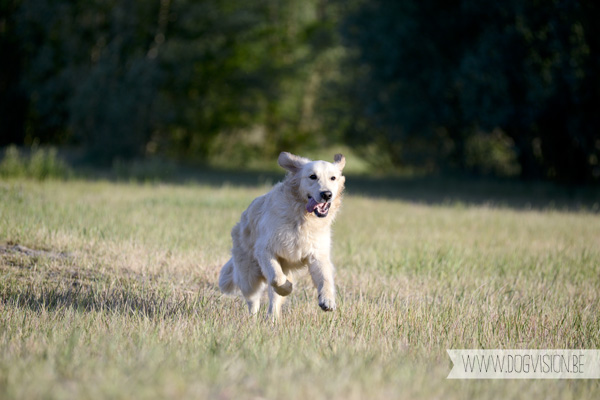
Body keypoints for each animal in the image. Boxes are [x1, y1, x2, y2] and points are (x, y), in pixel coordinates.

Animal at [219, 152, 346, 318]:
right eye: (312, 176)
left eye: (333, 178)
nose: (327, 194)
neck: (302, 218)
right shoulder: (265, 250)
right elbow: (276, 278)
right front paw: (287, 288)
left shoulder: (317, 254)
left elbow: (325, 278)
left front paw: (327, 300)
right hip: (248, 276)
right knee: (253, 299)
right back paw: (253, 318)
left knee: (273, 301)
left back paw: (272, 318)